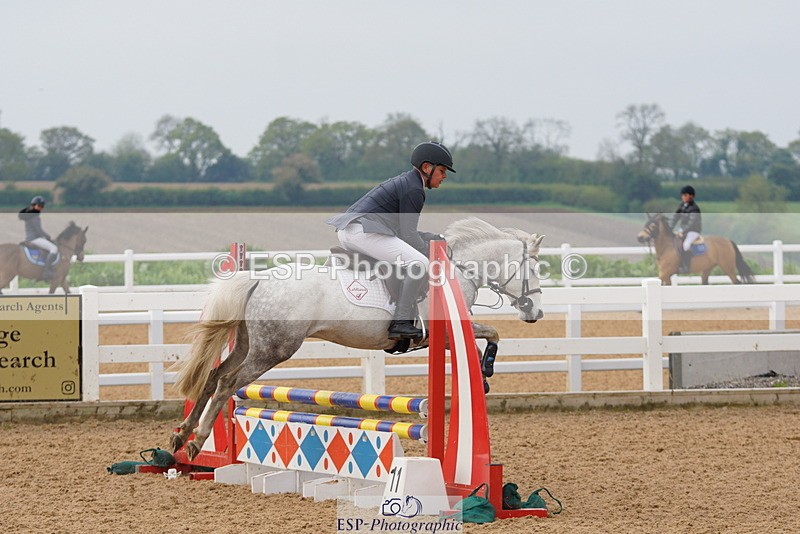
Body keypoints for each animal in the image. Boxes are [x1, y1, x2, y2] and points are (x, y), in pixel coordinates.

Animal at [170, 217, 546, 460]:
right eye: (535, 269)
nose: (536, 312)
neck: (458, 270)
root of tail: (258, 279)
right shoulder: (444, 336)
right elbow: (492, 334)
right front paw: (485, 373)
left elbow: (490, 334)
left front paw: (483, 374)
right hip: (273, 349)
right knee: (227, 382)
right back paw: (197, 440)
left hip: (251, 344)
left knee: (213, 376)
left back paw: (181, 435)